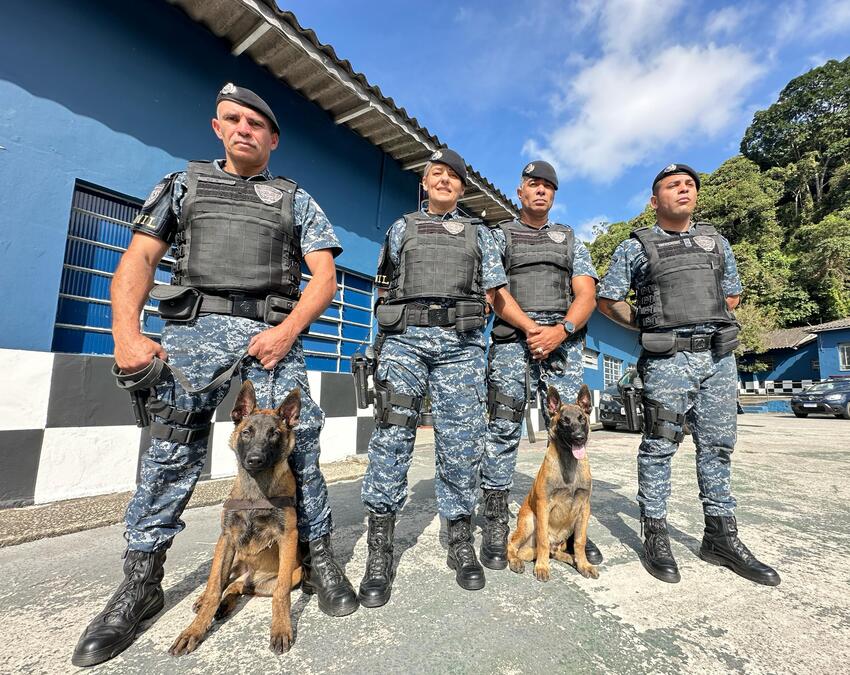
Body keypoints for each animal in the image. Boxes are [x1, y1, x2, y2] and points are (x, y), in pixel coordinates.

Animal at [171, 382, 304, 656]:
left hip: (285, 576)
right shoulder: (227, 538)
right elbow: (214, 586)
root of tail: (251, 573)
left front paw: (281, 628)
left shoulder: (288, 537)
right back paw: (208, 601)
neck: (256, 491)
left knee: (242, 586)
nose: (254, 459)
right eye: (246, 432)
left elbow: (281, 593)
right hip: (234, 558)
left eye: (274, 434)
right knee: (224, 582)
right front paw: (194, 630)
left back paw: (226, 603)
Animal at [506, 386, 600, 580]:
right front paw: (542, 567)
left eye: (582, 419)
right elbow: (542, 539)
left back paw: (573, 559)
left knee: (555, 551)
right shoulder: (543, 506)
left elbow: (580, 541)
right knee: (512, 545)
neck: (569, 463)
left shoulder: (584, 507)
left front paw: (584, 564)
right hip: (529, 521)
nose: (579, 437)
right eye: (565, 420)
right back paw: (516, 561)